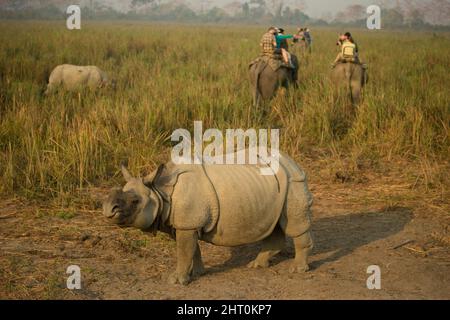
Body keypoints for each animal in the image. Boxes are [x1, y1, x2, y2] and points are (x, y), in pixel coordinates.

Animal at [102, 151, 314, 286]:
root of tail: (292, 161)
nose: (107, 210)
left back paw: (297, 270)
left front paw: (176, 281)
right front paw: (196, 273)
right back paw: (257, 266)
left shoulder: (187, 224)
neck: (160, 191)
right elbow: (191, 249)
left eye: (135, 201)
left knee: (293, 225)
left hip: (293, 181)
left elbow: (184, 250)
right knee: (274, 224)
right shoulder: (185, 224)